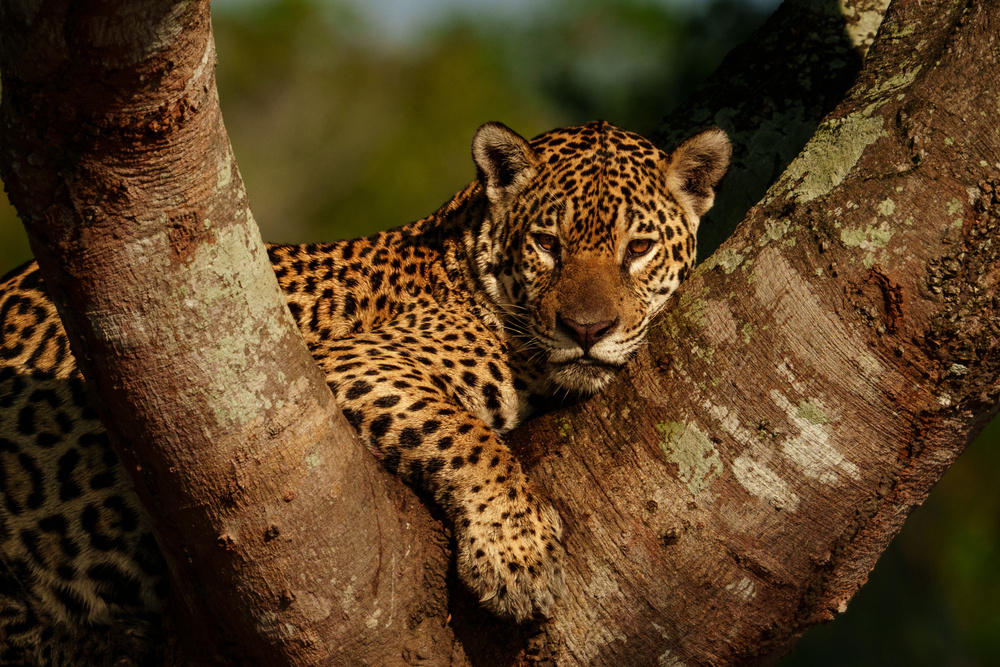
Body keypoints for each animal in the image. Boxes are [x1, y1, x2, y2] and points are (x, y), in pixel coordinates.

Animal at [0, 119, 730, 665]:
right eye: (547, 244)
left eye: (638, 248)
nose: (586, 329)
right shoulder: (336, 368)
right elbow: (469, 435)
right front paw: (516, 554)